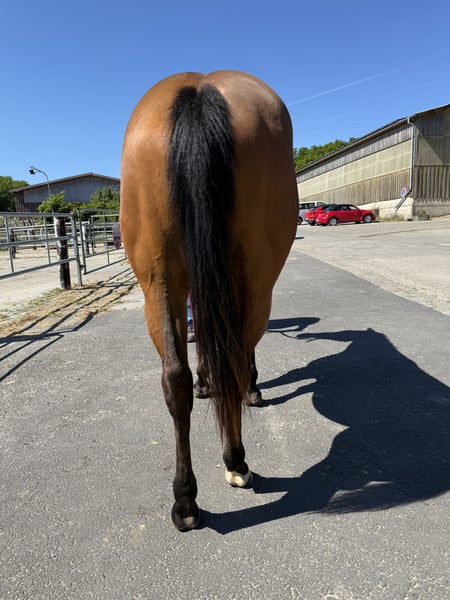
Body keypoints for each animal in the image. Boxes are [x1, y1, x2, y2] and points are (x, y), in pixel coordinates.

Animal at [120, 70, 298, 530]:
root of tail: (199, 90)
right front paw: (251, 389)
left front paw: (204, 382)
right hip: (254, 280)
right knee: (233, 362)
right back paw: (236, 461)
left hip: (158, 280)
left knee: (174, 379)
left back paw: (185, 502)